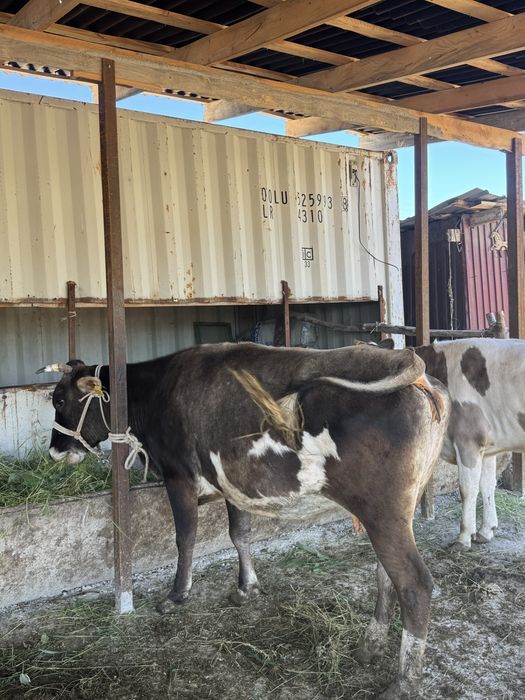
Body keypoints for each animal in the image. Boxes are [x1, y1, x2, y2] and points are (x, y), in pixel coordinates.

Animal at [40, 342, 450, 699]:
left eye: (59, 400)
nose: (54, 451)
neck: (154, 393)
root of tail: (409, 366)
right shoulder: (233, 482)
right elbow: (240, 534)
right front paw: (246, 587)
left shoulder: (178, 475)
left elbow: (185, 537)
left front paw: (177, 595)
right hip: (392, 513)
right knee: (386, 576)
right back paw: (369, 645)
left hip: (384, 512)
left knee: (414, 584)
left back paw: (404, 683)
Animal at [410, 337, 525, 549]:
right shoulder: (487, 447)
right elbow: (487, 485)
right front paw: (486, 531)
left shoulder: (468, 441)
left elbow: (467, 489)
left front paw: (463, 537)